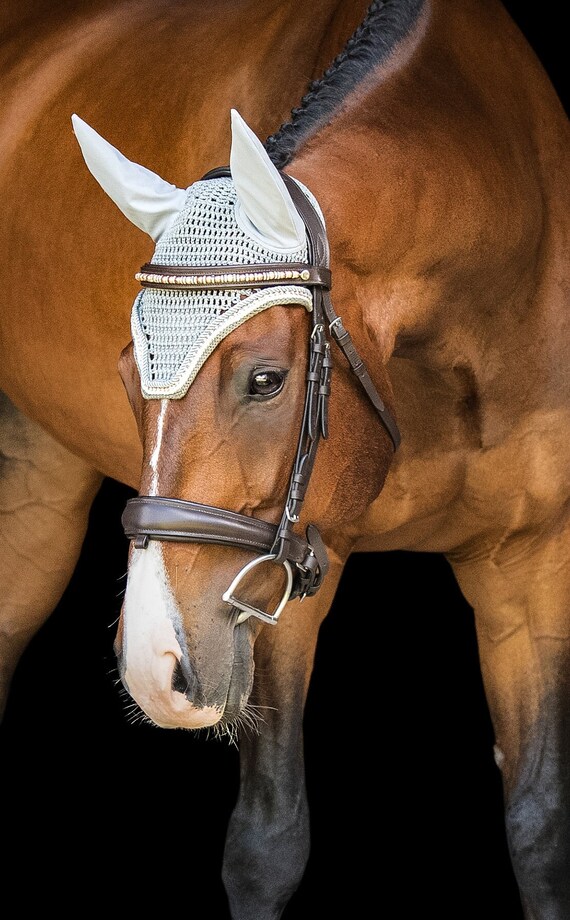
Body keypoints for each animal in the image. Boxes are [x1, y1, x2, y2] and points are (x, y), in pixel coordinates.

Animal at [0, 1, 568, 917]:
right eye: (127, 372)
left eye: (265, 379)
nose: (155, 665)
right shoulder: (282, 582)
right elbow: (267, 844)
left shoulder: (531, 563)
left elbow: (541, 827)